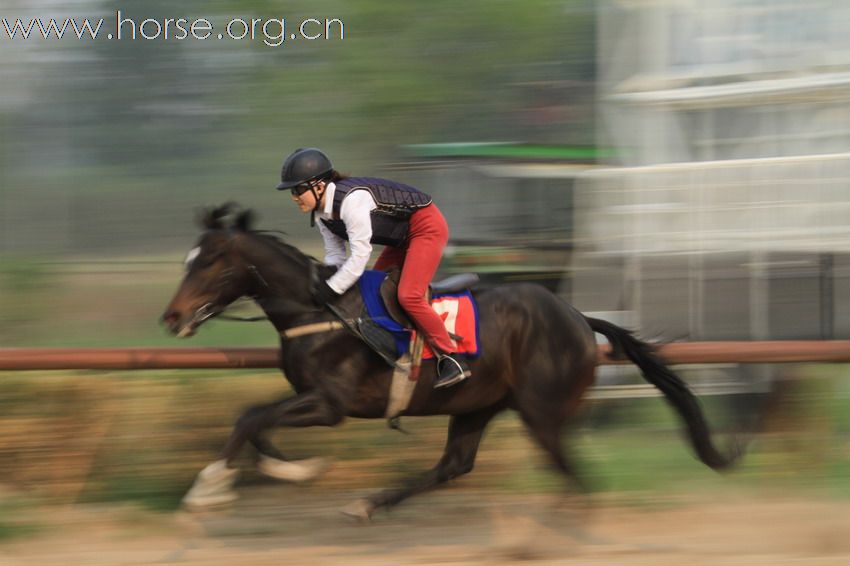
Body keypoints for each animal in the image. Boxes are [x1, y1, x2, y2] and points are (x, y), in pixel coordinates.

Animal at [162, 203, 740, 520]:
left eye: (209, 263)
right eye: (188, 259)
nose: (172, 317)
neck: (318, 310)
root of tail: (579, 318)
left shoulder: (330, 404)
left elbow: (253, 419)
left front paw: (210, 488)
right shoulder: (313, 398)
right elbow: (254, 419)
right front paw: (286, 469)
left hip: (543, 412)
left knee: (573, 479)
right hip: (476, 405)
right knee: (454, 465)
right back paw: (369, 504)